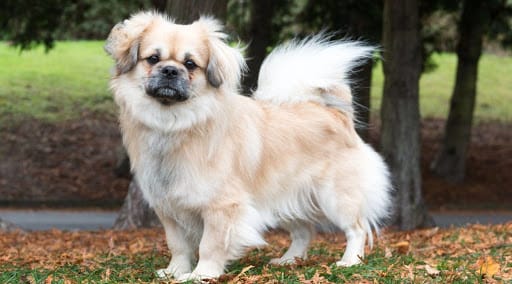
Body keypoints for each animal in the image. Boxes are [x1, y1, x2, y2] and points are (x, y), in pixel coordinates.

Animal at [104, 11, 392, 282]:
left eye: (190, 64)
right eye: (153, 59)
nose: (170, 71)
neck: (174, 125)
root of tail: (336, 114)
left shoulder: (221, 208)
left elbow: (210, 246)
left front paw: (201, 275)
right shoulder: (169, 209)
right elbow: (179, 246)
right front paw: (175, 271)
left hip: (337, 197)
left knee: (357, 228)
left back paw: (350, 261)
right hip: (285, 199)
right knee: (304, 232)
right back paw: (289, 260)